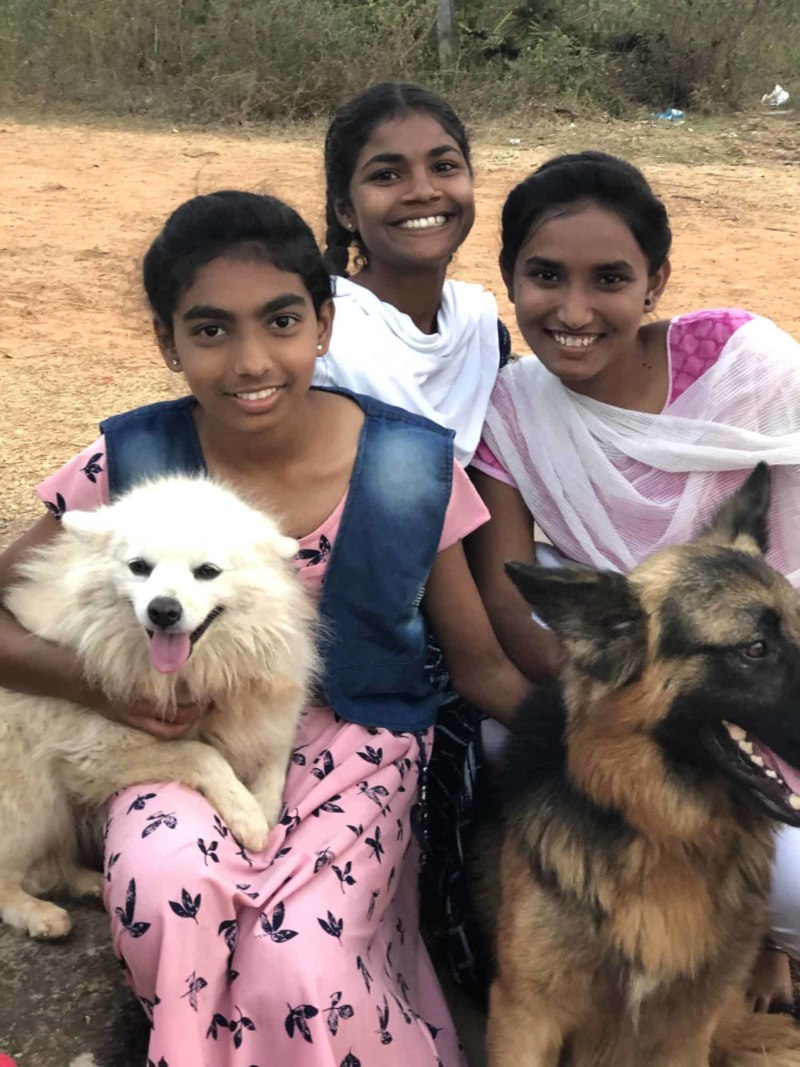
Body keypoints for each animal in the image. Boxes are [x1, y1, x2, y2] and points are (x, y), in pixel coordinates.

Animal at [0, 480, 317, 938]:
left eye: (207, 571)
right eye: (139, 567)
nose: (163, 610)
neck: (194, 674)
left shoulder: (269, 716)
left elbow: (274, 766)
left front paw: (263, 811)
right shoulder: (97, 755)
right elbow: (202, 753)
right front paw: (247, 816)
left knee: (55, 864)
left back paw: (87, 883)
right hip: (29, 801)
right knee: (9, 878)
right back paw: (39, 914)